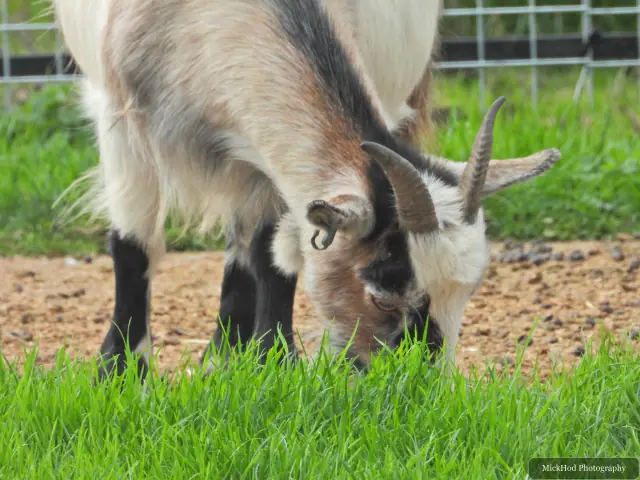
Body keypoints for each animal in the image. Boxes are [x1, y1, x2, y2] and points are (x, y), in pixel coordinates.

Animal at [52, 0, 561, 378]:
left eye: (468, 291)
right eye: (382, 294)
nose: (420, 384)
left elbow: (276, 256)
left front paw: (273, 364)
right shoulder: (119, 116)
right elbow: (132, 248)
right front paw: (118, 373)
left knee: (247, 244)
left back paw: (225, 357)